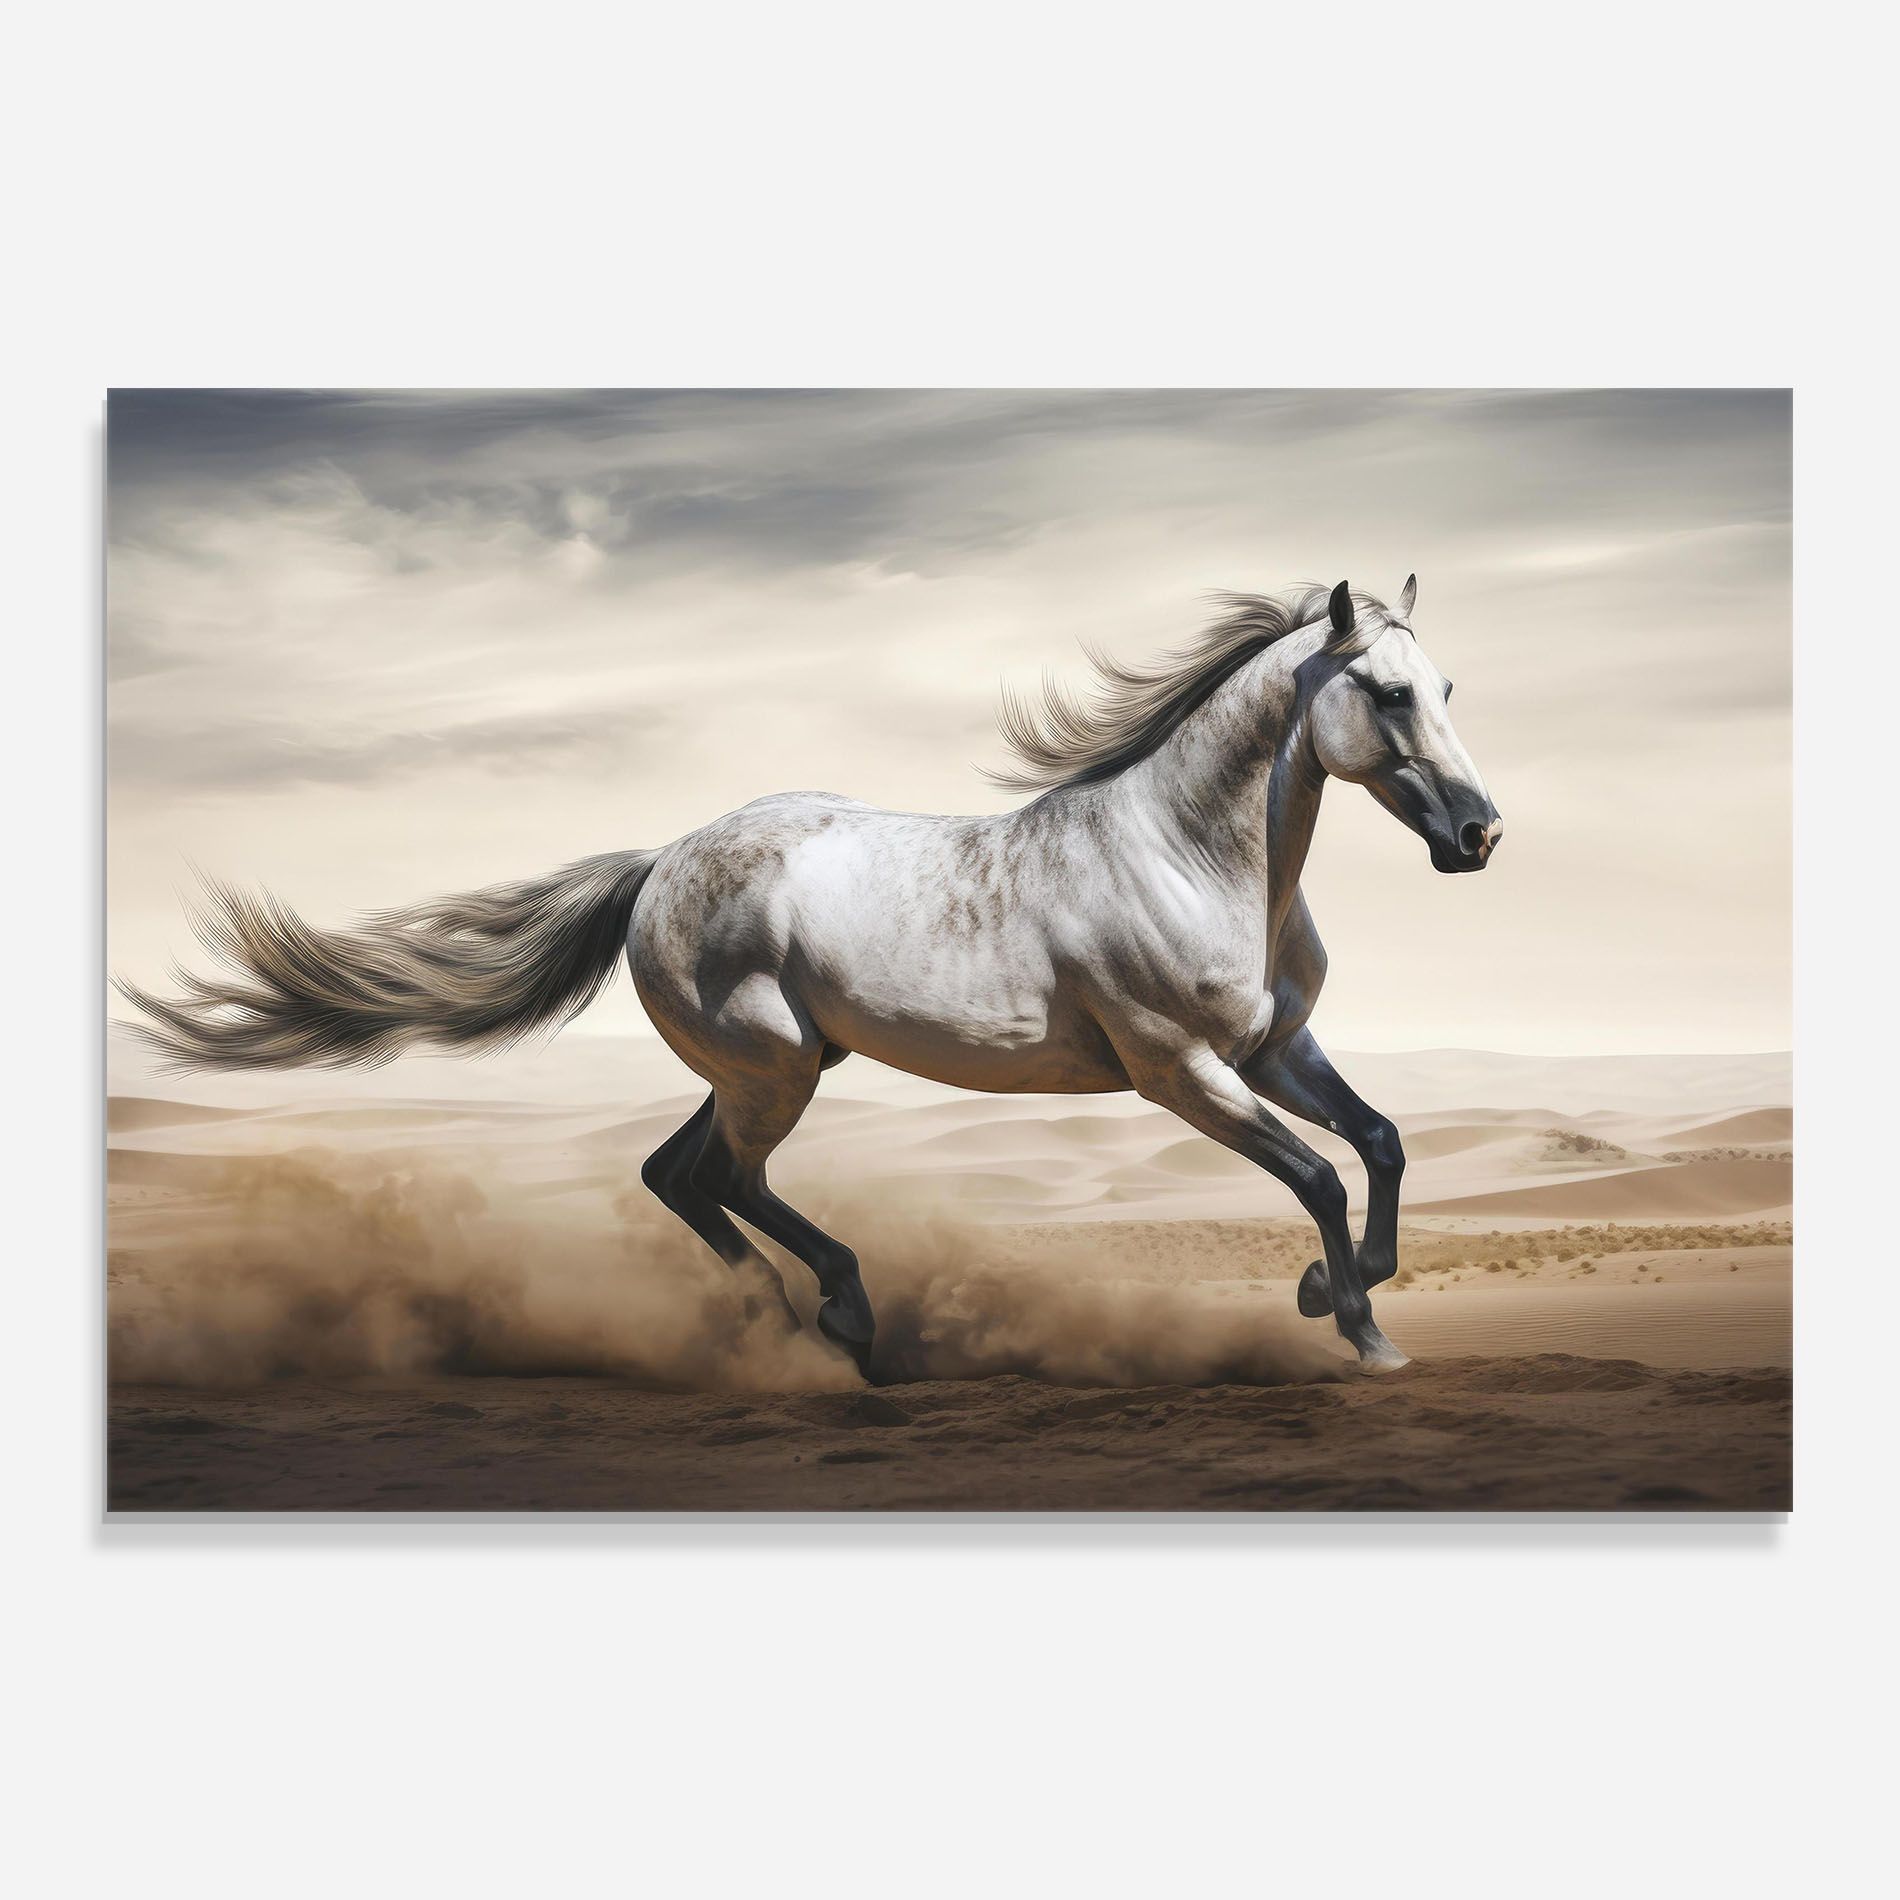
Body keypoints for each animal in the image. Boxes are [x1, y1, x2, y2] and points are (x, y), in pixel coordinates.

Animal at [120, 576, 1502, 1374]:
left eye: (1446, 683)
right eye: (1386, 694)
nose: (1479, 834)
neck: (1187, 854)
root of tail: (660, 861)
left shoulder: (1274, 1048)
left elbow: (1380, 1144)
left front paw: (1335, 1289)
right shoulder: (1181, 1072)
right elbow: (1318, 1172)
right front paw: (1358, 1327)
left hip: (768, 1064)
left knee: (674, 1174)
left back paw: (786, 1322)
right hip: (773, 1070)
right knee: (724, 1178)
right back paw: (836, 1315)